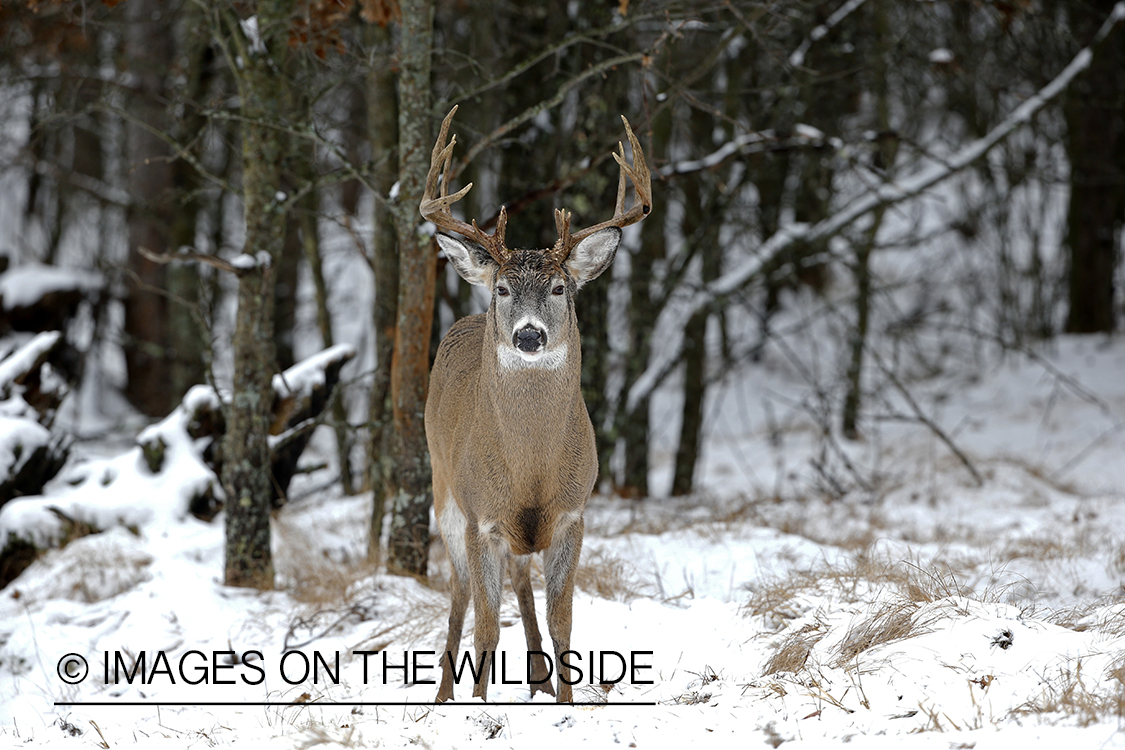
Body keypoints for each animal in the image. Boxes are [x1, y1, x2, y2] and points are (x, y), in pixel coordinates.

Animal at [420, 106, 652, 706]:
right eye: (502, 289)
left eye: (559, 288)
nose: (528, 335)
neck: (529, 469)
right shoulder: (481, 517)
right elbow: (484, 623)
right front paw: (478, 706)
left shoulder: (573, 512)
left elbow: (562, 618)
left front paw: (566, 702)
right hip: (443, 490)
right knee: (459, 591)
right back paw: (444, 696)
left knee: (521, 582)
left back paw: (539, 682)